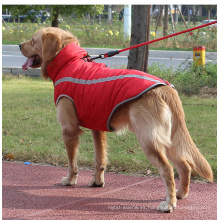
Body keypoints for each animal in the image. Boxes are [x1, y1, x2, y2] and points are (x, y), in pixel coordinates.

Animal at [19, 26, 213, 212]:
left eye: (33, 40)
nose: (19, 45)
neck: (70, 62)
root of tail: (165, 88)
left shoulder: (69, 130)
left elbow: (71, 162)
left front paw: (70, 180)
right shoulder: (97, 128)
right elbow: (99, 159)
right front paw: (97, 182)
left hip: (149, 140)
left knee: (168, 169)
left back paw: (169, 204)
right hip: (169, 139)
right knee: (185, 165)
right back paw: (180, 194)